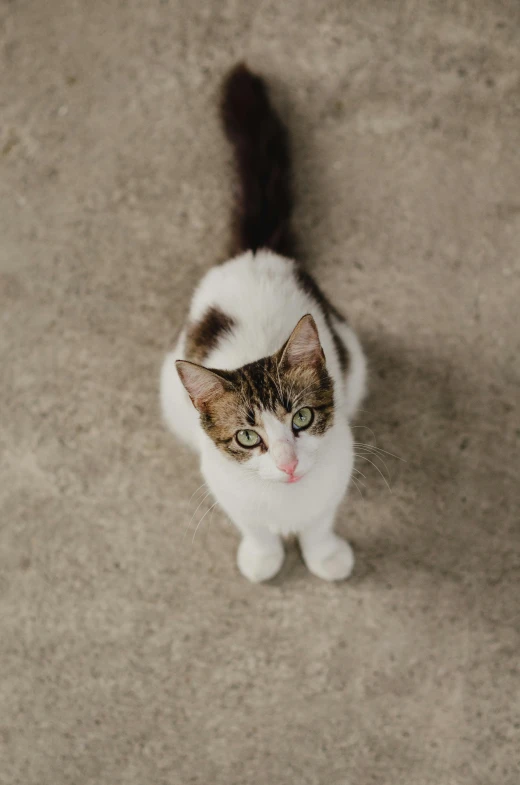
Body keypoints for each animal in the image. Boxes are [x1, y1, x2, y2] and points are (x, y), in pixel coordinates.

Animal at [160, 64, 368, 580]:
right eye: (248, 437)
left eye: (302, 418)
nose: (289, 465)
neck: (285, 496)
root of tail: (253, 252)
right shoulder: (223, 482)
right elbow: (250, 522)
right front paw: (263, 555)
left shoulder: (338, 464)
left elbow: (321, 517)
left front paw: (324, 554)